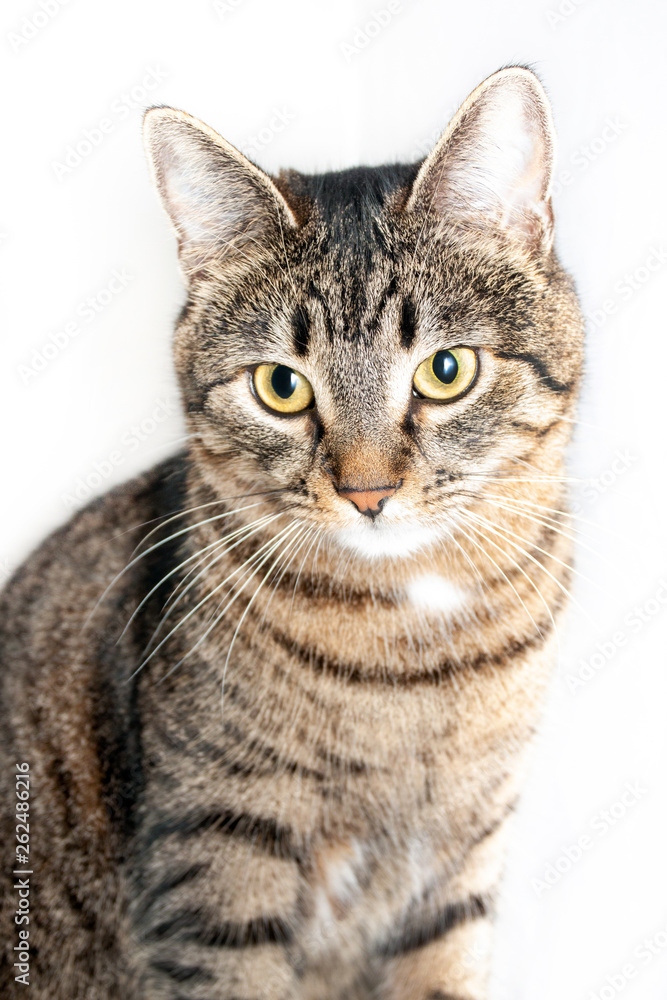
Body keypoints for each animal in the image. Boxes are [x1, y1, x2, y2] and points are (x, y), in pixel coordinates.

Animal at [0, 66, 584, 996]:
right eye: (281, 387)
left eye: (444, 370)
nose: (367, 490)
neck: (411, 656)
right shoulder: (218, 862)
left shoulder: (458, 867)